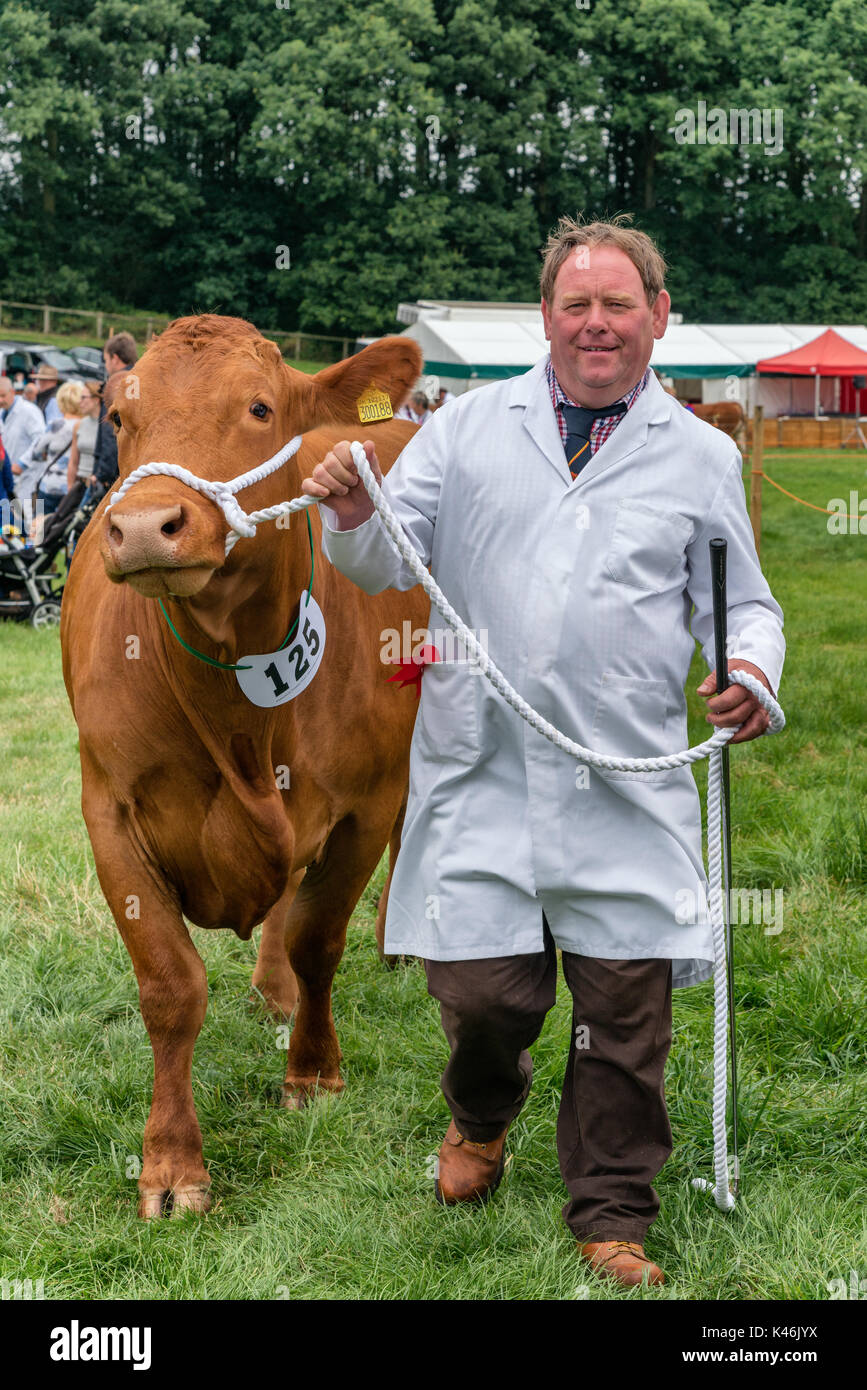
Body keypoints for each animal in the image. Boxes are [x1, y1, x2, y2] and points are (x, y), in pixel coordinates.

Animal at [60, 315, 427, 1217]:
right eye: (119, 416)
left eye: (259, 407)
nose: (144, 526)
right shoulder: (108, 809)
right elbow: (171, 986)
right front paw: (170, 1164)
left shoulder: (365, 801)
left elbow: (319, 939)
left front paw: (314, 1072)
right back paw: (272, 989)